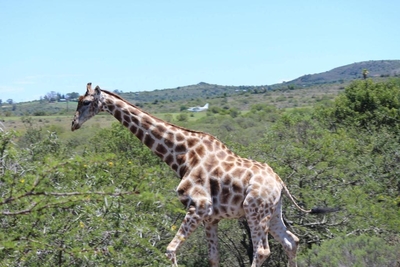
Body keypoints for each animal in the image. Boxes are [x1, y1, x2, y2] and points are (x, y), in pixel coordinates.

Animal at [71, 82, 334, 266]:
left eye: (85, 102)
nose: (74, 124)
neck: (183, 156)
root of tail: (279, 182)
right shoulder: (211, 217)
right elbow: (213, 258)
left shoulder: (199, 206)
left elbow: (170, 251)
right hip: (273, 211)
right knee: (292, 241)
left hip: (254, 209)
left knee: (262, 251)